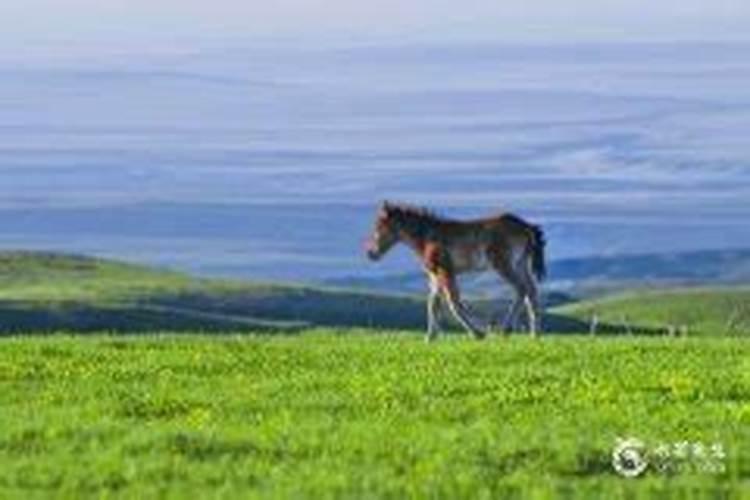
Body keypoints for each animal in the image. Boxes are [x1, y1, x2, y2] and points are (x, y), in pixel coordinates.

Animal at [368, 201, 548, 342]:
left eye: (379, 227)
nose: (371, 253)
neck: (427, 237)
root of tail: (526, 227)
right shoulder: (434, 275)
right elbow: (433, 304)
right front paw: (430, 337)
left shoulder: (446, 270)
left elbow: (453, 303)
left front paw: (478, 333)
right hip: (521, 264)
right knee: (531, 291)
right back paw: (535, 334)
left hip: (503, 264)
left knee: (521, 289)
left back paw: (506, 329)